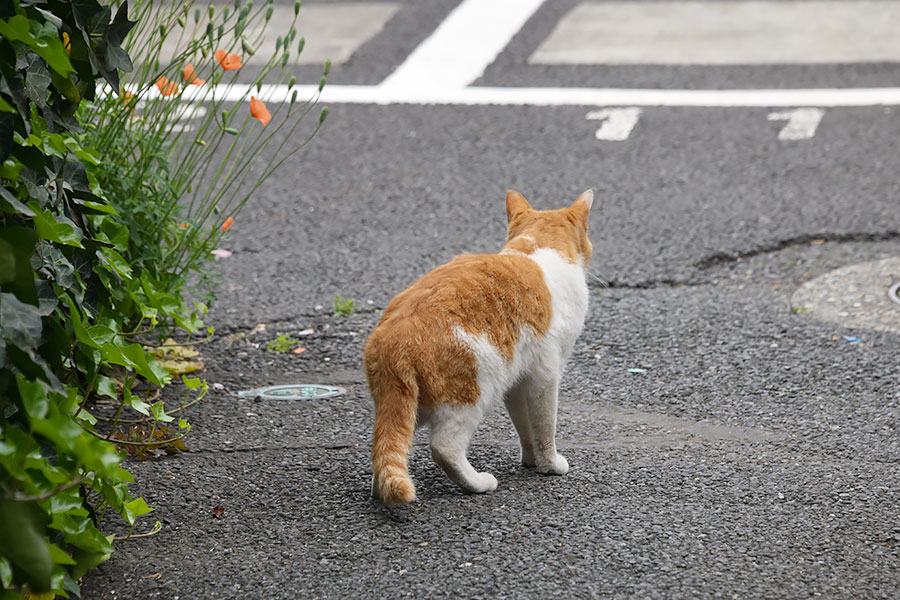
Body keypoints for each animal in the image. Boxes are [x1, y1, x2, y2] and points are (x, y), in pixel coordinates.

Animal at [362, 191, 596, 502]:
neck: (537, 248)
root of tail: (392, 338)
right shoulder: (545, 375)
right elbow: (545, 427)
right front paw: (550, 465)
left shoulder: (517, 380)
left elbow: (524, 426)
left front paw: (530, 460)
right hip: (475, 391)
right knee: (444, 446)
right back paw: (478, 482)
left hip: (407, 408)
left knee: (385, 450)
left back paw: (379, 490)